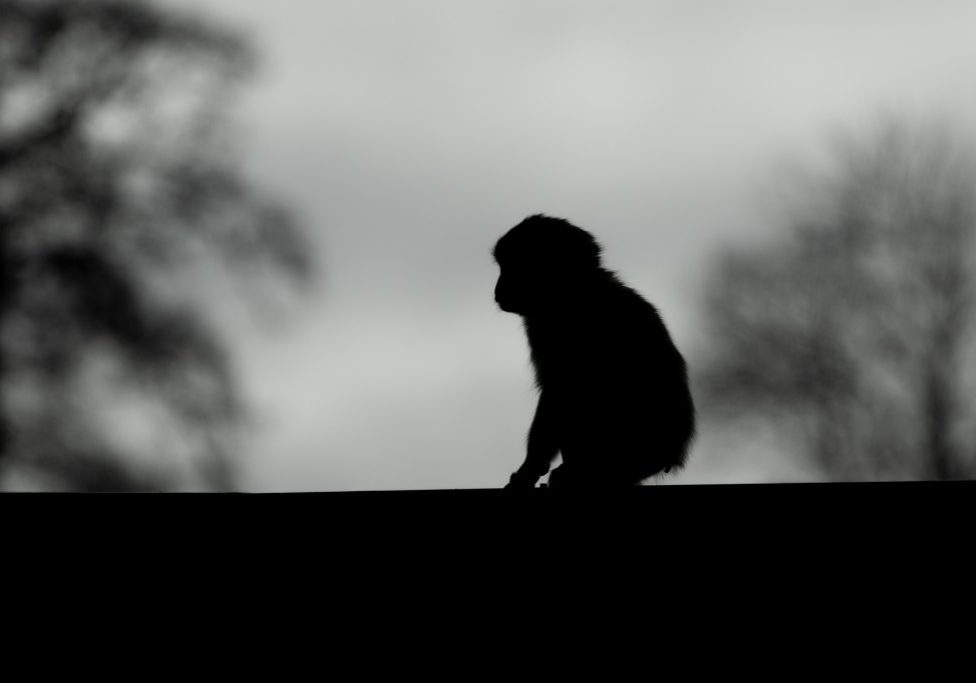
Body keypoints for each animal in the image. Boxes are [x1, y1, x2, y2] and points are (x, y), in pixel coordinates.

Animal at [493, 214, 695, 489]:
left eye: (512, 265)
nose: (497, 289)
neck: (573, 292)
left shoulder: (555, 329)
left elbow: (558, 389)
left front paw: (529, 468)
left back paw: (580, 472)